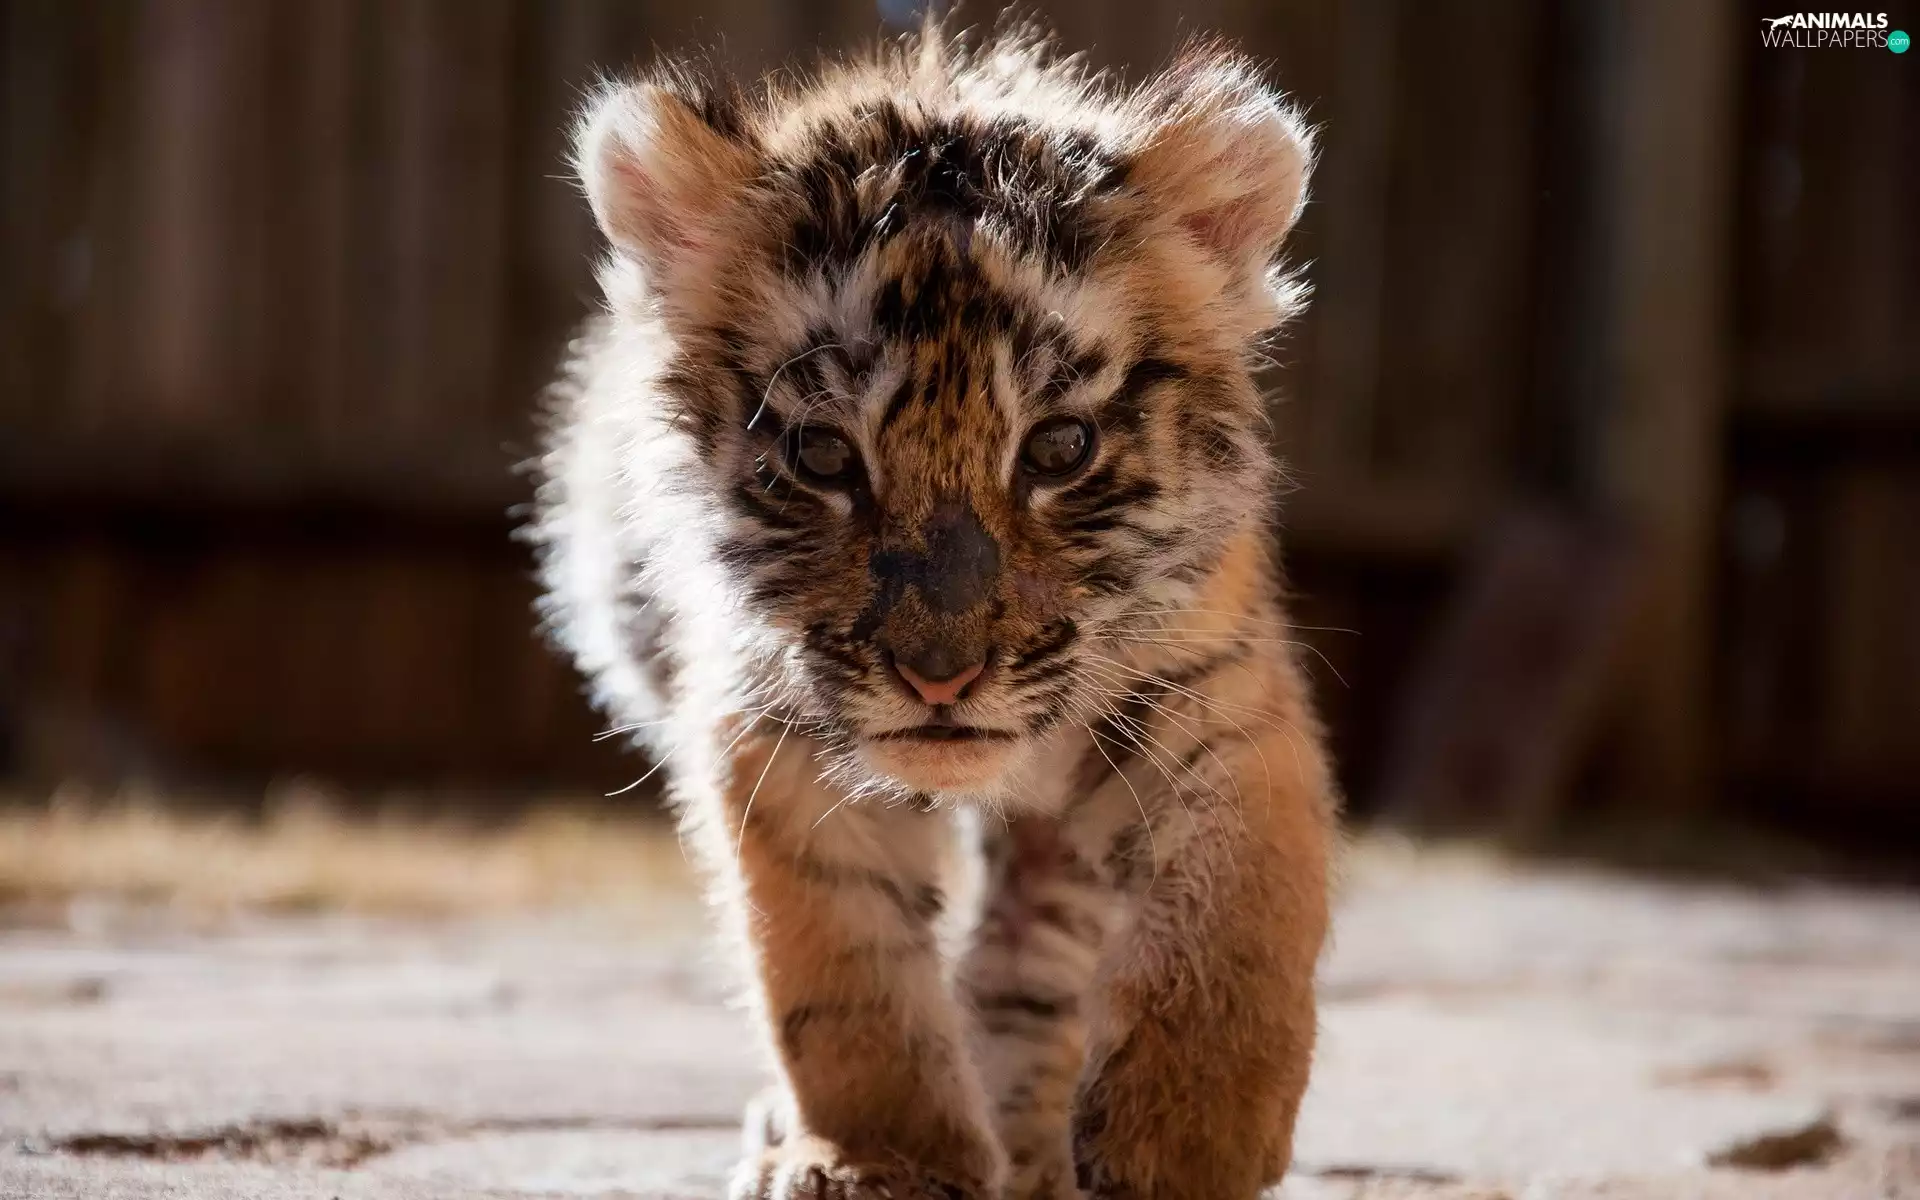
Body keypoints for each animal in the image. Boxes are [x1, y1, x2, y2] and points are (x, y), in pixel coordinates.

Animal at [530, 19, 1337, 1200]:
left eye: (1059, 448)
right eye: (824, 456)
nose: (941, 677)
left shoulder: (1204, 685)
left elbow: (1239, 901)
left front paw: (1187, 1138)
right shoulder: (771, 726)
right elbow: (838, 963)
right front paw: (879, 1161)